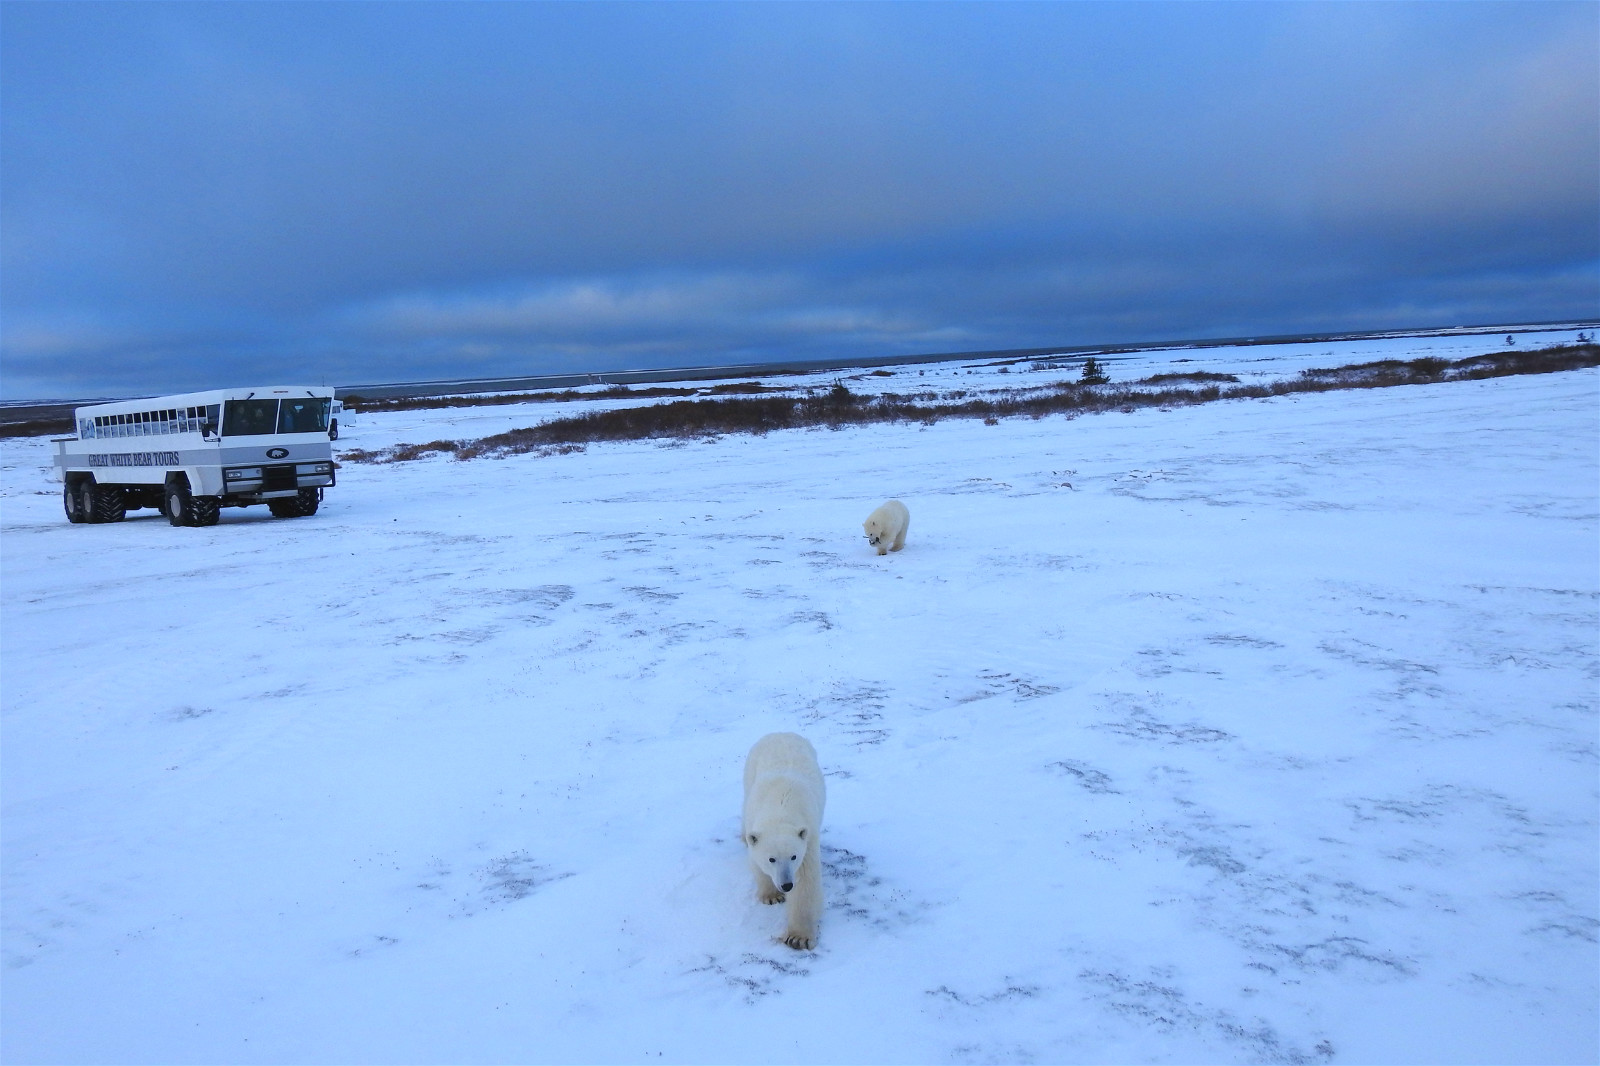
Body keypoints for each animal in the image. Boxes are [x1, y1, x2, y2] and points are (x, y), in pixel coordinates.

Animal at [745, 729, 832, 947]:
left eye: (793, 856)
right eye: (771, 859)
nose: (786, 885)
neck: (780, 806)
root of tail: (780, 732)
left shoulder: (807, 838)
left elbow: (806, 882)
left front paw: (798, 937)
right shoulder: (754, 823)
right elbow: (756, 862)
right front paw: (772, 897)